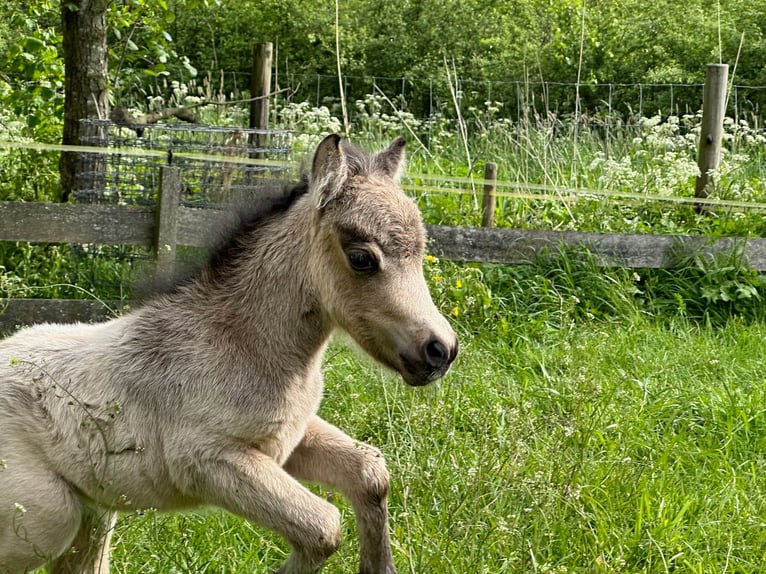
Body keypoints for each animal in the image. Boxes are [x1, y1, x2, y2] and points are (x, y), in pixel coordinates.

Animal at [0, 136, 456, 574]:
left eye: (421, 250)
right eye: (361, 258)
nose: (441, 350)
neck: (236, 345)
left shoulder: (289, 440)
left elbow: (370, 471)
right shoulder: (209, 462)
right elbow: (323, 526)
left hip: (94, 518)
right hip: (48, 519)